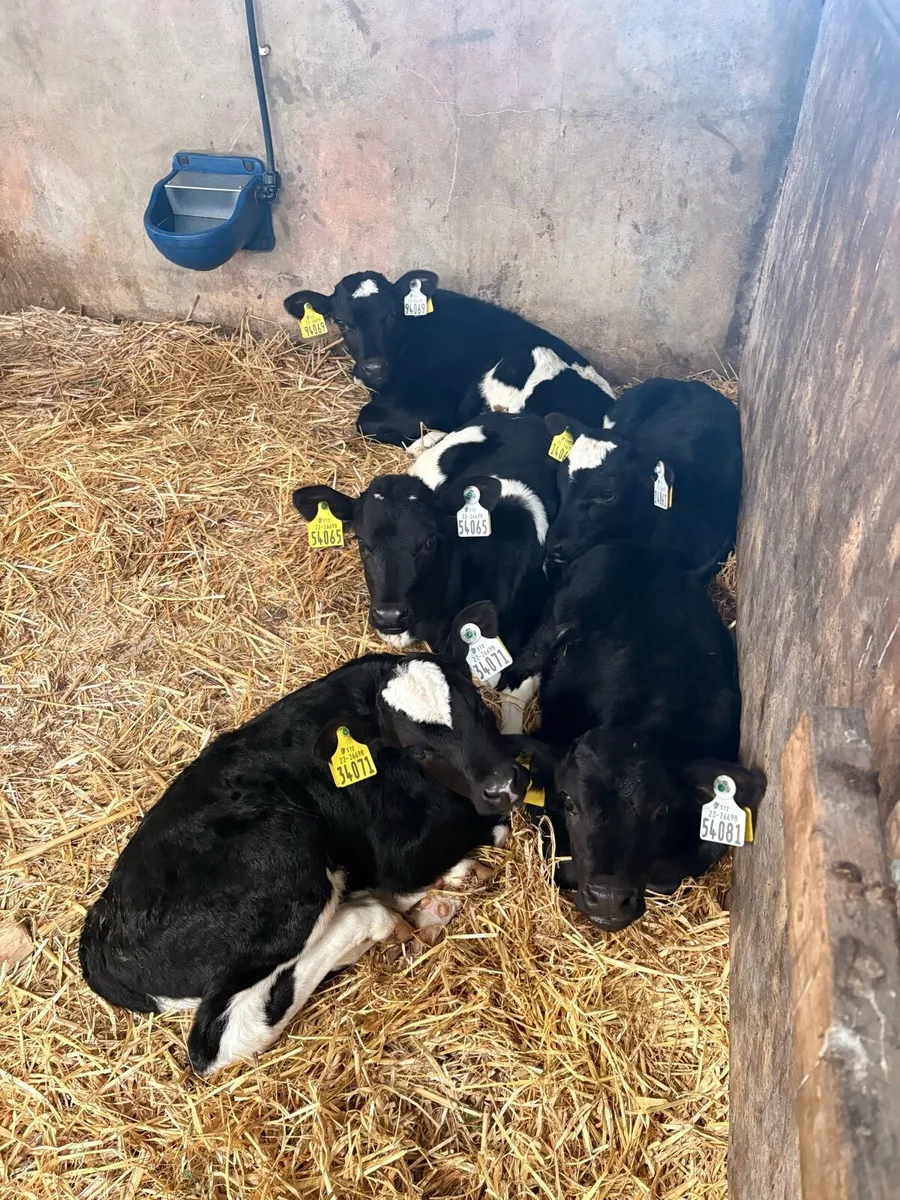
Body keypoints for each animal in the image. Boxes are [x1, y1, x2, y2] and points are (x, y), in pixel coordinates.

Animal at [79, 652, 527, 1074]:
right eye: (419, 749)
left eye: (479, 710)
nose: (503, 786)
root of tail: (101, 936)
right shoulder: (401, 858)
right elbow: (489, 831)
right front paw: (461, 865)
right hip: (291, 864)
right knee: (218, 1040)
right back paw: (383, 914)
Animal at [462, 542, 765, 930]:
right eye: (569, 802)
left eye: (662, 808)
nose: (607, 900)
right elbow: (565, 866)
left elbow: (669, 875)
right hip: (552, 622)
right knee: (519, 677)